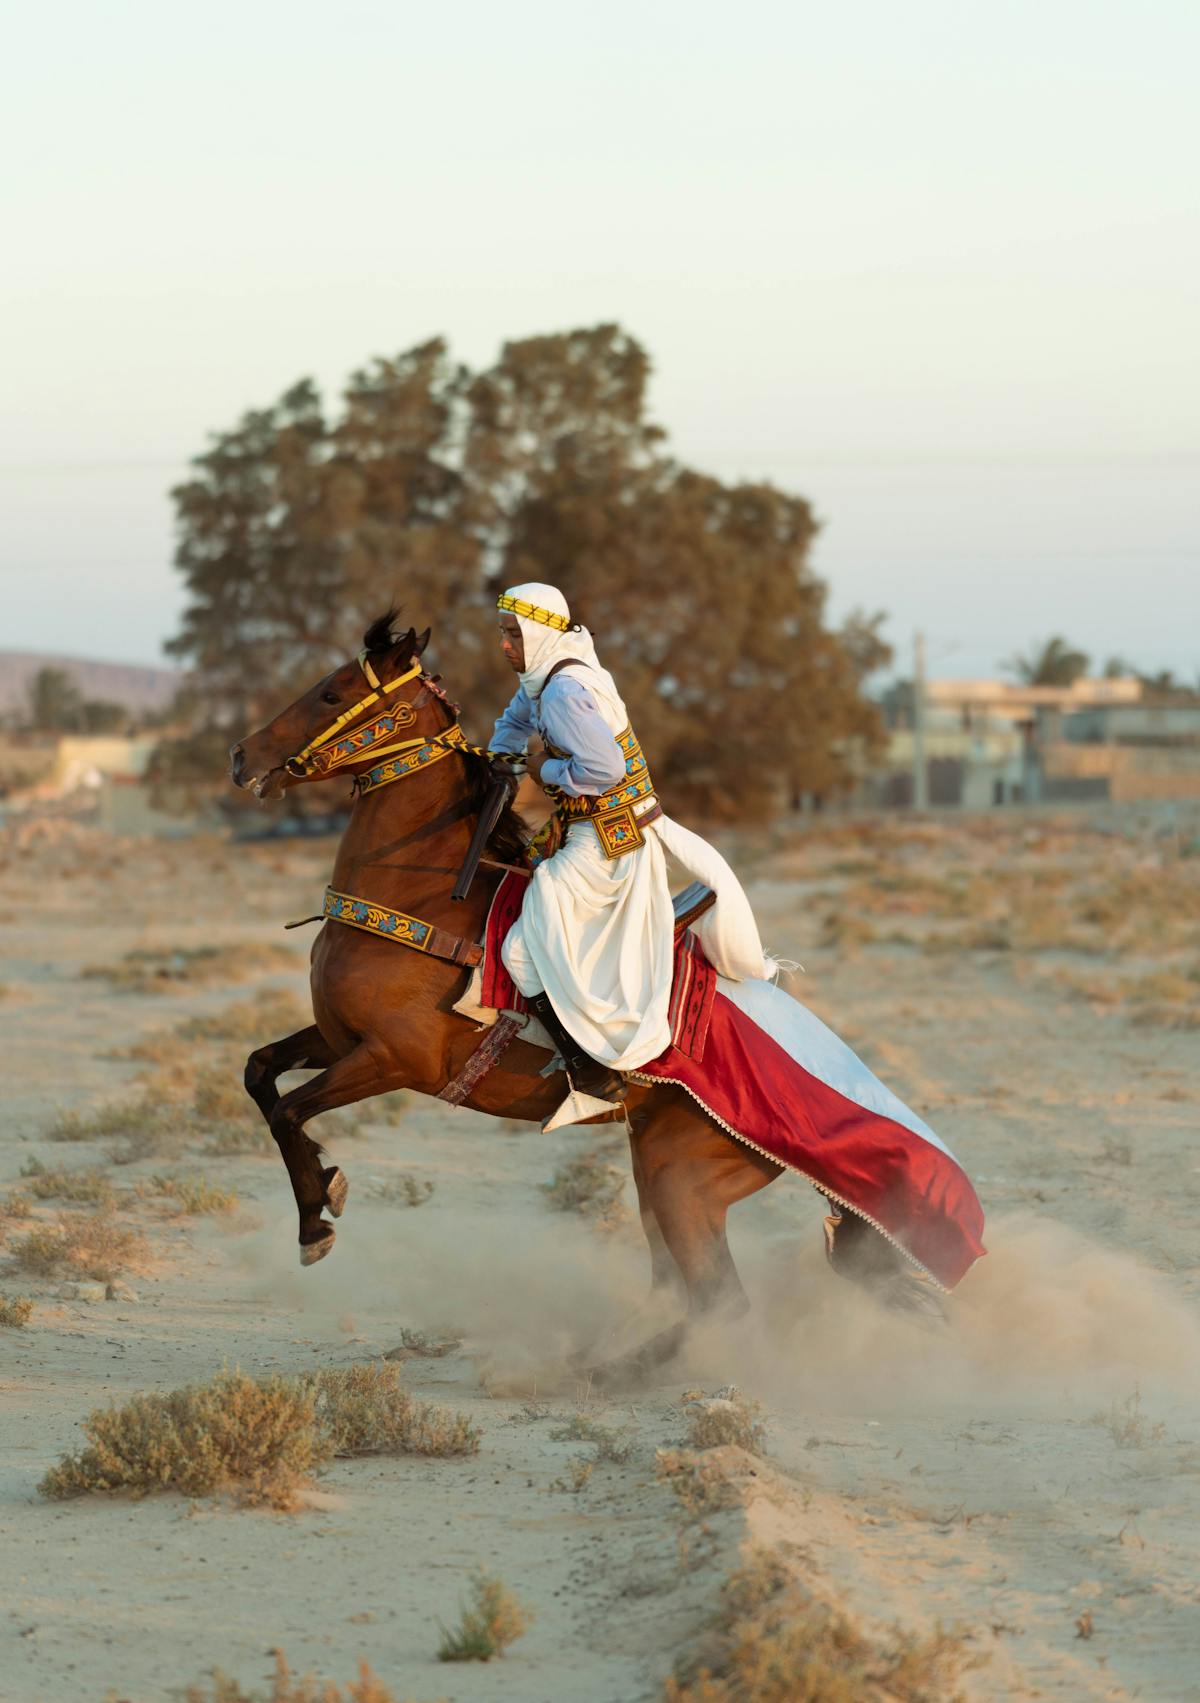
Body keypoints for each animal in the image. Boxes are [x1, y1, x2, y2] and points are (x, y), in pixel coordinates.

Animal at [229, 612, 911, 1378]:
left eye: (332, 690)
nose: (242, 755)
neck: (418, 896)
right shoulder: (337, 1038)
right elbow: (260, 1073)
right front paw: (320, 1193)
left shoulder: (394, 1060)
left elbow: (288, 1109)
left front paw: (317, 1217)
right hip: (655, 1173)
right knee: (683, 1288)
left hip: (679, 1178)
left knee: (719, 1298)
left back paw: (609, 1373)